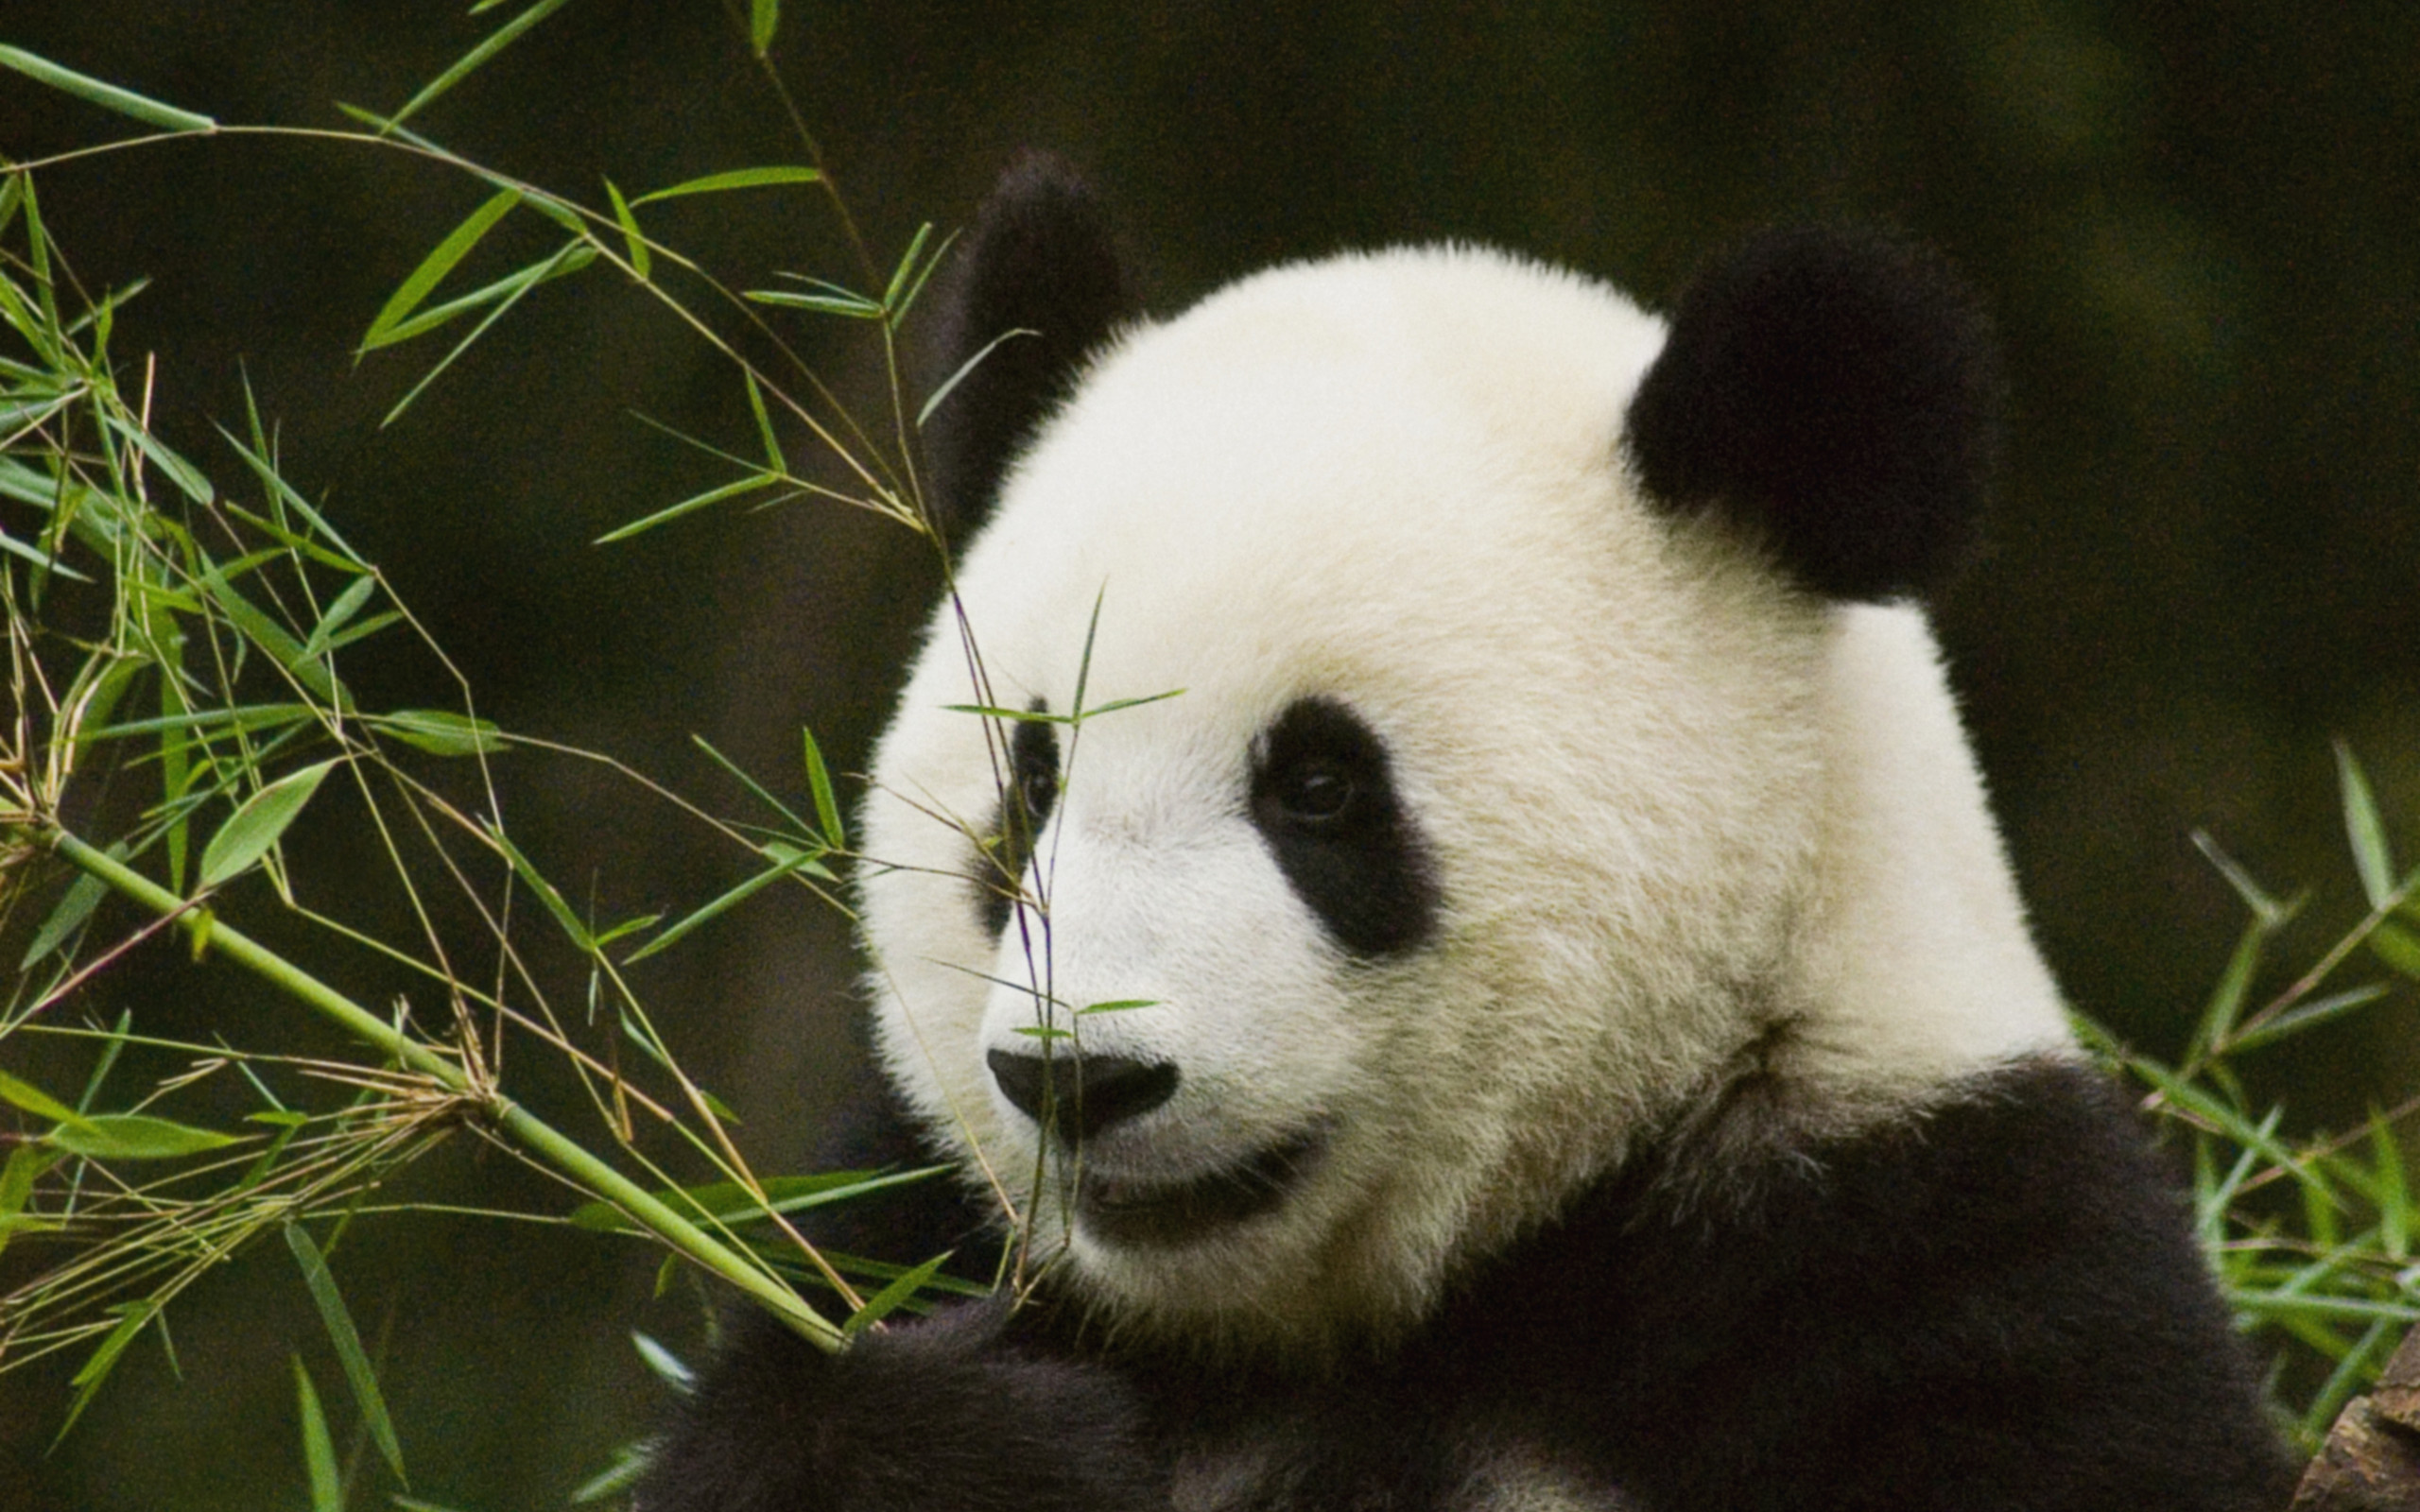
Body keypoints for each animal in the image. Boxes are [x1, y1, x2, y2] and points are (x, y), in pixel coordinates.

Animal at [633, 156, 2293, 1509]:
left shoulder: (1922, 1245)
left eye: (1320, 789)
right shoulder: (903, 1213)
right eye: (1031, 784)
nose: (1079, 1079)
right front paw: (970, 1441)